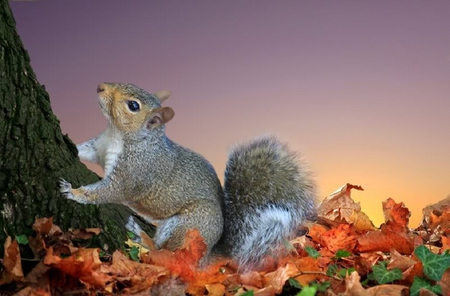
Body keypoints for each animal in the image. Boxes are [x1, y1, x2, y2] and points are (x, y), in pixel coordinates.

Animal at [59, 82, 316, 272]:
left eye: (133, 105)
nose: (100, 87)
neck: (118, 135)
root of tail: (210, 253)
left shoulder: (134, 173)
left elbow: (107, 191)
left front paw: (74, 192)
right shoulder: (99, 147)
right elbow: (84, 150)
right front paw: (66, 142)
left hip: (188, 226)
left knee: (165, 253)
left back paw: (142, 238)